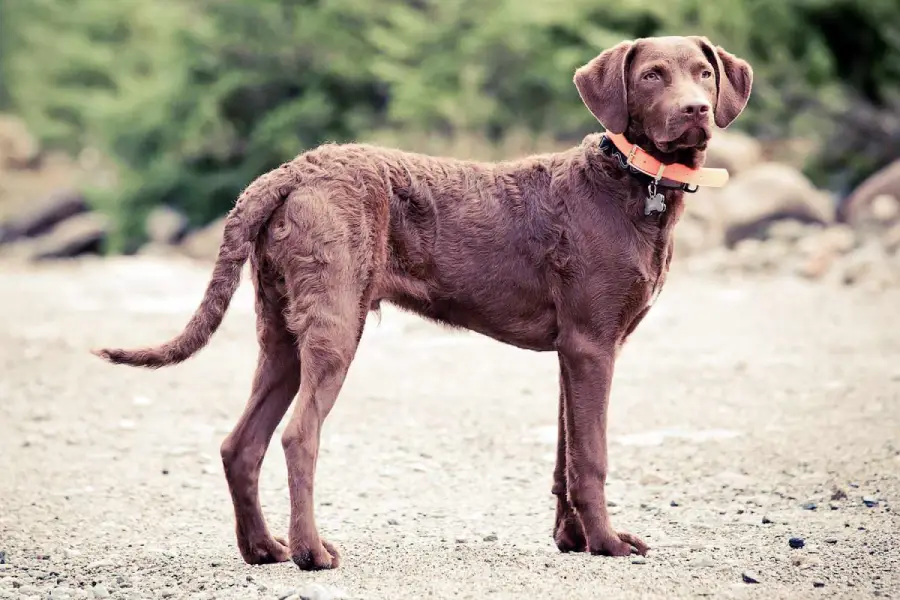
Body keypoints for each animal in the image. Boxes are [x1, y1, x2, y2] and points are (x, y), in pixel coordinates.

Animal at [91, 35, 752, 568]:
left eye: (704, 73)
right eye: (652, 76)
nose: (696, 110)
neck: (634, 182)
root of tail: (289, 172)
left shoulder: (574, 351)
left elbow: (565, 454)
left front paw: (575, 540)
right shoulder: (593, 345)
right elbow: (591, 457)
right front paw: (609, 545)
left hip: (280, 333)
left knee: (240, 445)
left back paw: (263, 549)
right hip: (335, 327)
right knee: (299, 436)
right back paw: (311, 552)